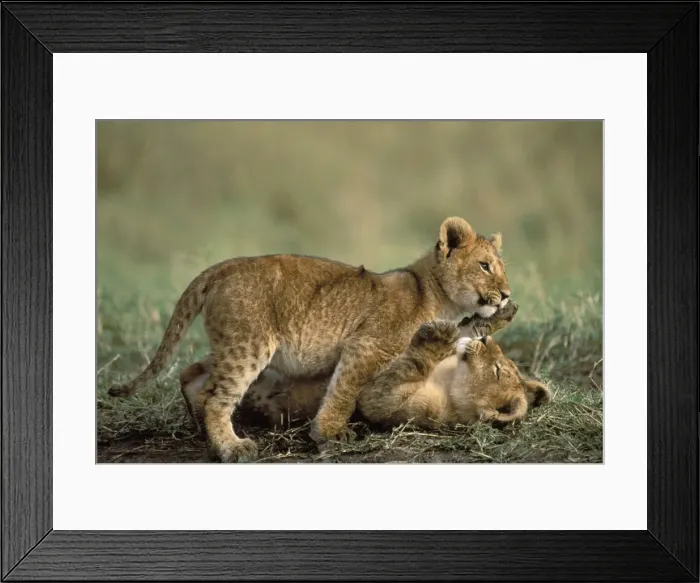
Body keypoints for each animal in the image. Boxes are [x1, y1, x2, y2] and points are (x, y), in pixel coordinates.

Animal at [108, 216, 511, 462]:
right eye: (485, 266)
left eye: (501, 267)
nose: (507, 294)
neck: (437, 296)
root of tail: (223, 266)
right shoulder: (366, 346)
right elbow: (345, 390)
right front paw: (329, 434)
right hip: (250, 344)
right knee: (215, 396)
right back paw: (232, 448)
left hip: (230, 346)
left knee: (192, 377)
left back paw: (201, 433)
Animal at [179, 301, 551, 433]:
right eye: (504, 364)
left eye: (498, 371)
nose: (487, 342)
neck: (449, 377)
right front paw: (492, 318)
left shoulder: (384, 405)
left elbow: (398, 371)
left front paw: (436, 338)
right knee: (191, 372)